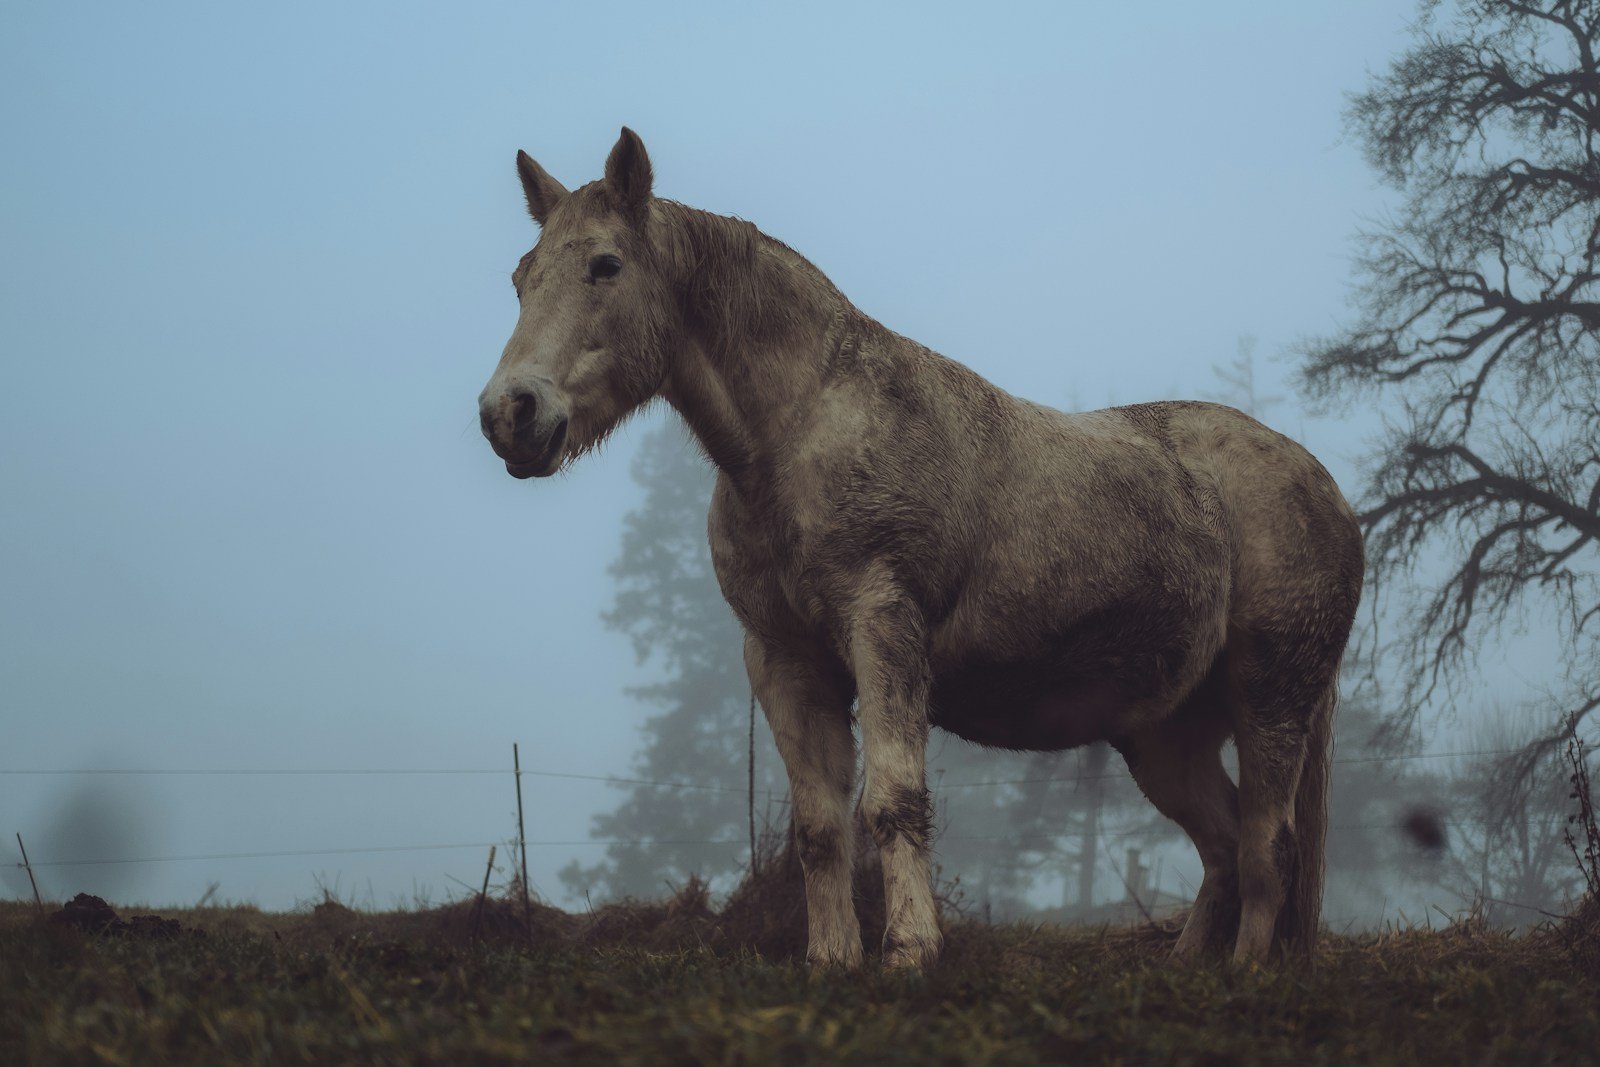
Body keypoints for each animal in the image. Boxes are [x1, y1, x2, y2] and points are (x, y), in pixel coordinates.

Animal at [478, 128, 1364, 970]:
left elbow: (893, 800)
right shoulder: (784, 660)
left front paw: (909, 949)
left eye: (605, 265)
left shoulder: (885, 628)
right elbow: (820, 825)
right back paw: (1187, 966)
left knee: (1268, 848)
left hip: (1272, 701)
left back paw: (1247, 971)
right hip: (1166, 735)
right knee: (1223, 847)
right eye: (522, 277)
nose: (510, 413)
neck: (803, 433)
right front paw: (832, 957)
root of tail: (1324, 487)